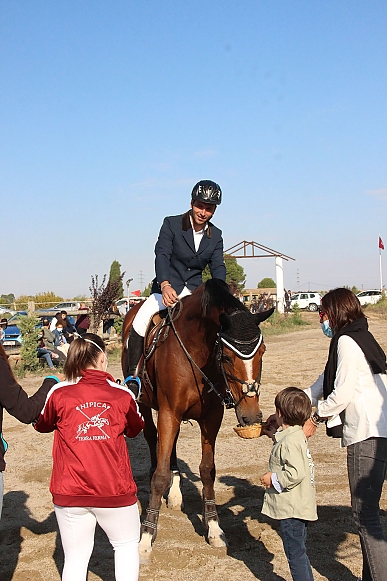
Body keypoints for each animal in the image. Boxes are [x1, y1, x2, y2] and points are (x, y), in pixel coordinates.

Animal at [121, 278, 272, 560]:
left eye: (263, 352)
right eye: (227, 357)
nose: (251, 416)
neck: (198, 352)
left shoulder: (211, 418)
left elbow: (207, 470)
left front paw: (213, 528)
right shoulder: (169, 412)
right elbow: (160, 475)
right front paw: (146, 537)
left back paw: (175, 494)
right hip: (146, 404)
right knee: (152, 438)